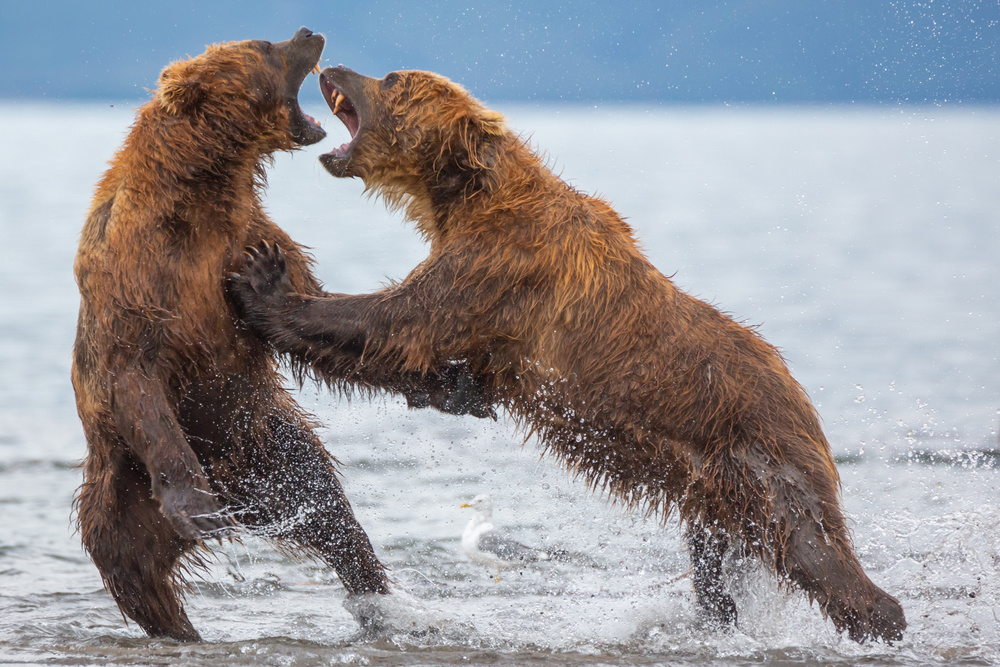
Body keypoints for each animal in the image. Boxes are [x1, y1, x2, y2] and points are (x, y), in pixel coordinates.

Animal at [72, 33, 490, 642]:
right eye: (264, 45)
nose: (309, 32)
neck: (200, 193)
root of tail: (240, 493)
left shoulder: (252, 238)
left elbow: (306, 319)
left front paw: (453, 383)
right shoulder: (134, 274)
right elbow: (135, 374)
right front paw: (197, 507)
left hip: (270, 449)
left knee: (329, 511)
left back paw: (376, 599)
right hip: (123, 489)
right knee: (138, 577)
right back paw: (184, 613)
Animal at [228, 66, 907, 643]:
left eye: (392, 79)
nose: (334, 68)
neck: (467, 196)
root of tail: (801, 393)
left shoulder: (500, 265)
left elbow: (397, 320)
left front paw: (264, 283)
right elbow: (427, 359)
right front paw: (454, 390)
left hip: (763, 458)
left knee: (814, 549)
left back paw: (881, 620)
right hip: (713, 489)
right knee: (717, 563)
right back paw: (713, 619)